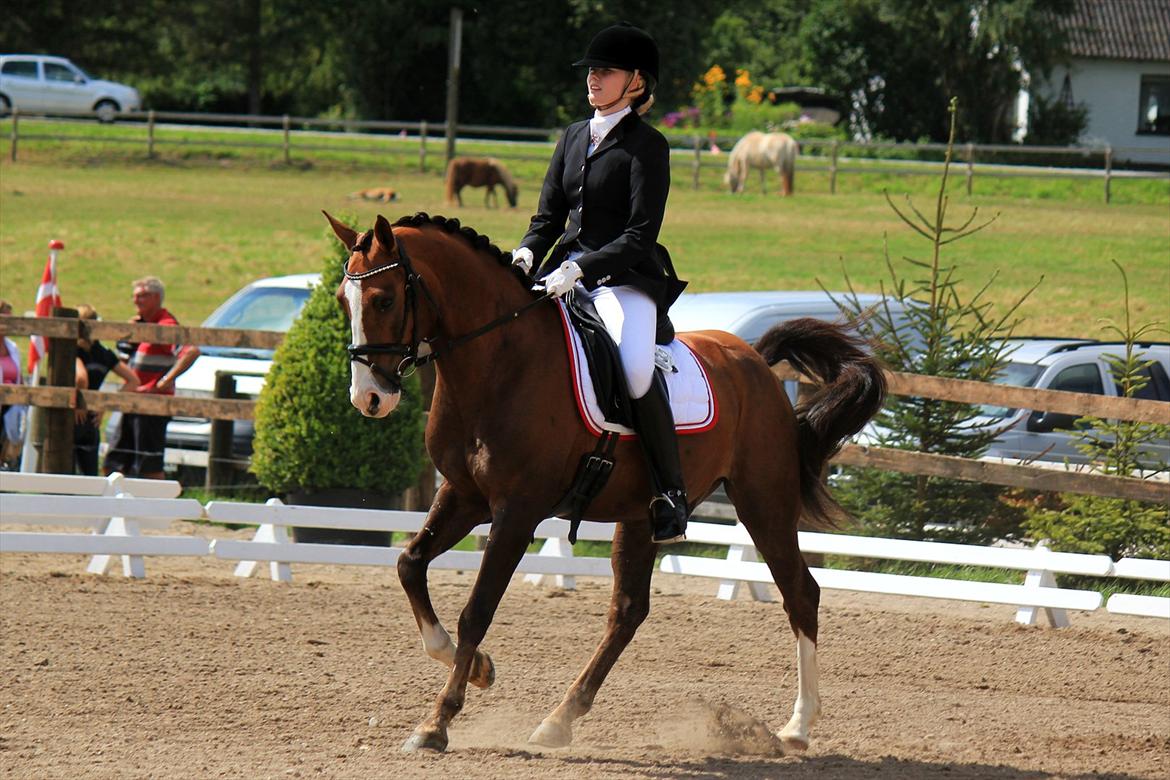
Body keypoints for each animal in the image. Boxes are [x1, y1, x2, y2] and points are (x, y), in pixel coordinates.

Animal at [325, 210, 879, 753]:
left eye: (384, 298)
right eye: (342, 300)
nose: (369, 398)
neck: (498, 362)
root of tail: (757, 362)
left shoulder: (516, 511)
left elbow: (476, 610)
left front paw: (436, 723)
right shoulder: (463, 495)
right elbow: (409, 564)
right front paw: (480, 669)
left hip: (764, 502)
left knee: (801, 594)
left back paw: (798, 727)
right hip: (642, 515)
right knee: (628, 611)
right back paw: (558, 721)